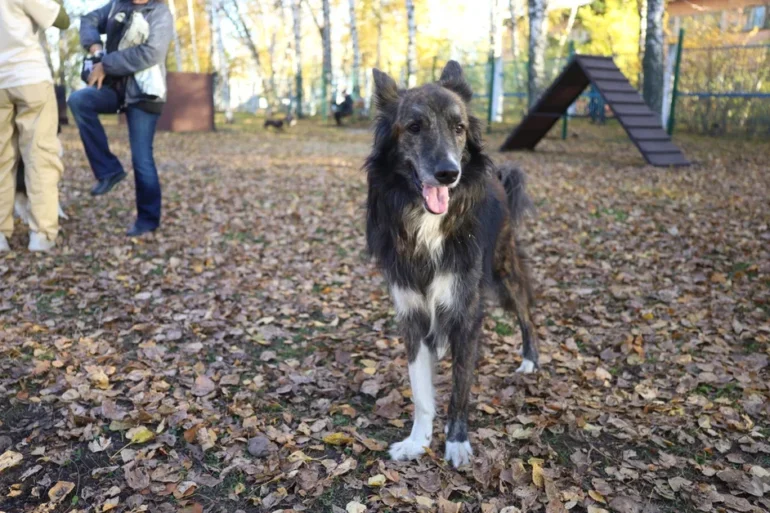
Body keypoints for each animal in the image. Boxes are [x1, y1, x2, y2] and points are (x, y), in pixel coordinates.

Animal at [364, 61, 536, 468]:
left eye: (459, 127)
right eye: (414, 127)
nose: (448, 173)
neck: (427, 224)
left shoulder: (466, 315)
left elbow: (460, 389)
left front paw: (456, 443)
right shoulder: (411, 316)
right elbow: (421, 392)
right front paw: (418, 441)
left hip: (504, 271)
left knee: (526, 311)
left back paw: (529, 361)